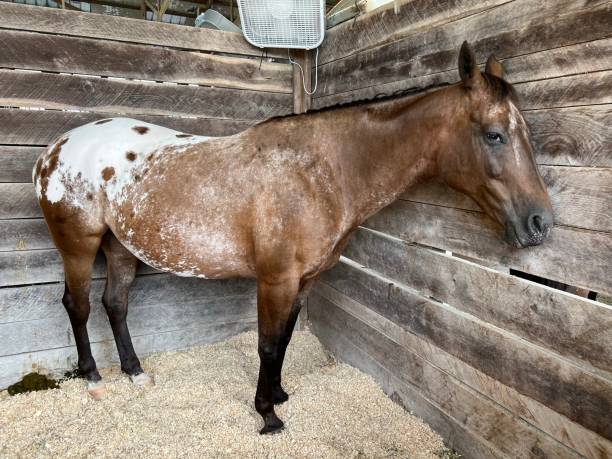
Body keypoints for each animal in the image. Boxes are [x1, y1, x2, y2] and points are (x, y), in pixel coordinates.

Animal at [32, 42, 556, 434]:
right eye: (494, 135)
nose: (540, 222)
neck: (322, 171)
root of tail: (54, 150)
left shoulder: (305, 280)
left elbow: (283, 340)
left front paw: (280, 394)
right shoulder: (275, 279)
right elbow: (266, 345)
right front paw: (267, 415)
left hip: (120, 248)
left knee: (115, 305)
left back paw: (136, 374)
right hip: (78, 247)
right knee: (78, 306)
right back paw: (93, 379)